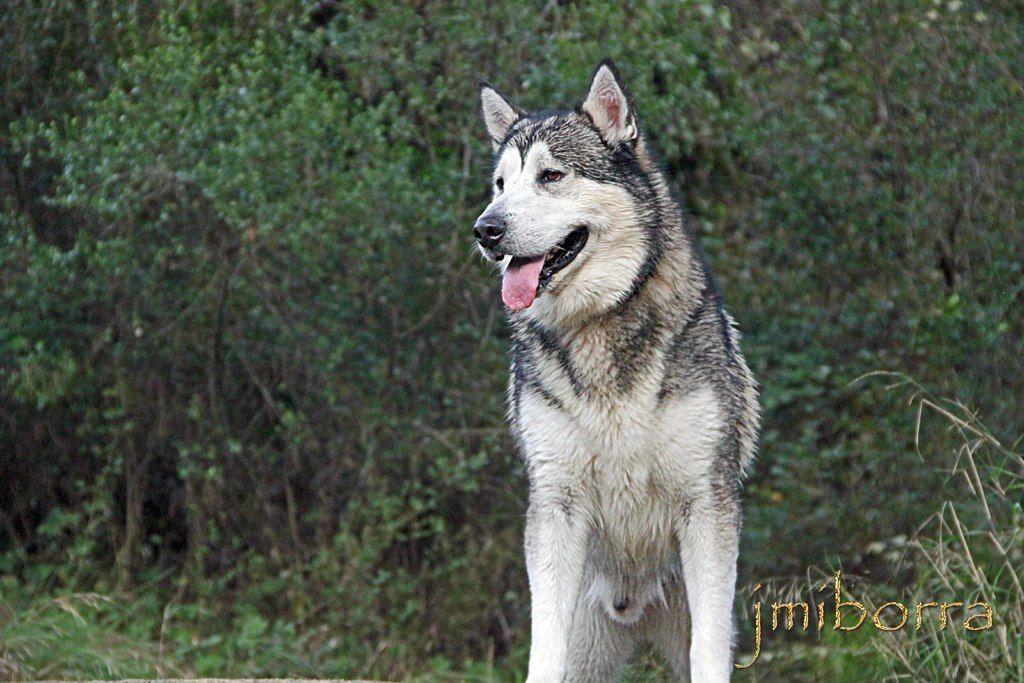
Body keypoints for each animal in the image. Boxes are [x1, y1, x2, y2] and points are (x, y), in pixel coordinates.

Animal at [473, 60, 760, 682]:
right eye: (501, 185)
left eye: (551, 176)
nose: (485, 229)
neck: (600, 325)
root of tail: (633, 605)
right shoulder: (555, 505)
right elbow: (543, 648)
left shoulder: (708, 505)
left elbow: (707, 649)